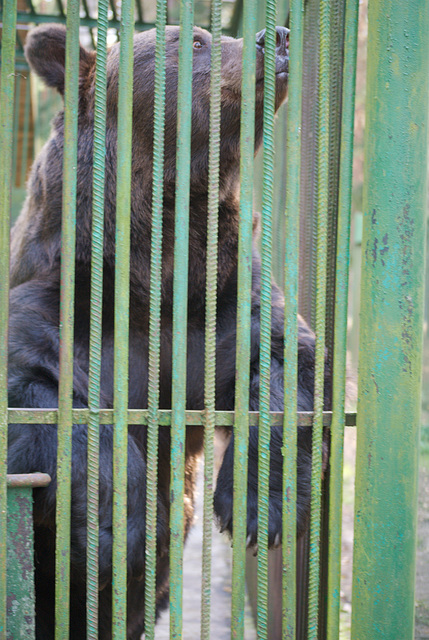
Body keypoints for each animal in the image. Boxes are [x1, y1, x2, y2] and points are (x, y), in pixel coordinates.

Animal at [7, 22, 328, 640]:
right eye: (193, 41)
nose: (275, 37)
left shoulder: (223, 306)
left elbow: (286, 363)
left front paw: (260, 504)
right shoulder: (58, 301)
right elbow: (43, 393)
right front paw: (119, 525)